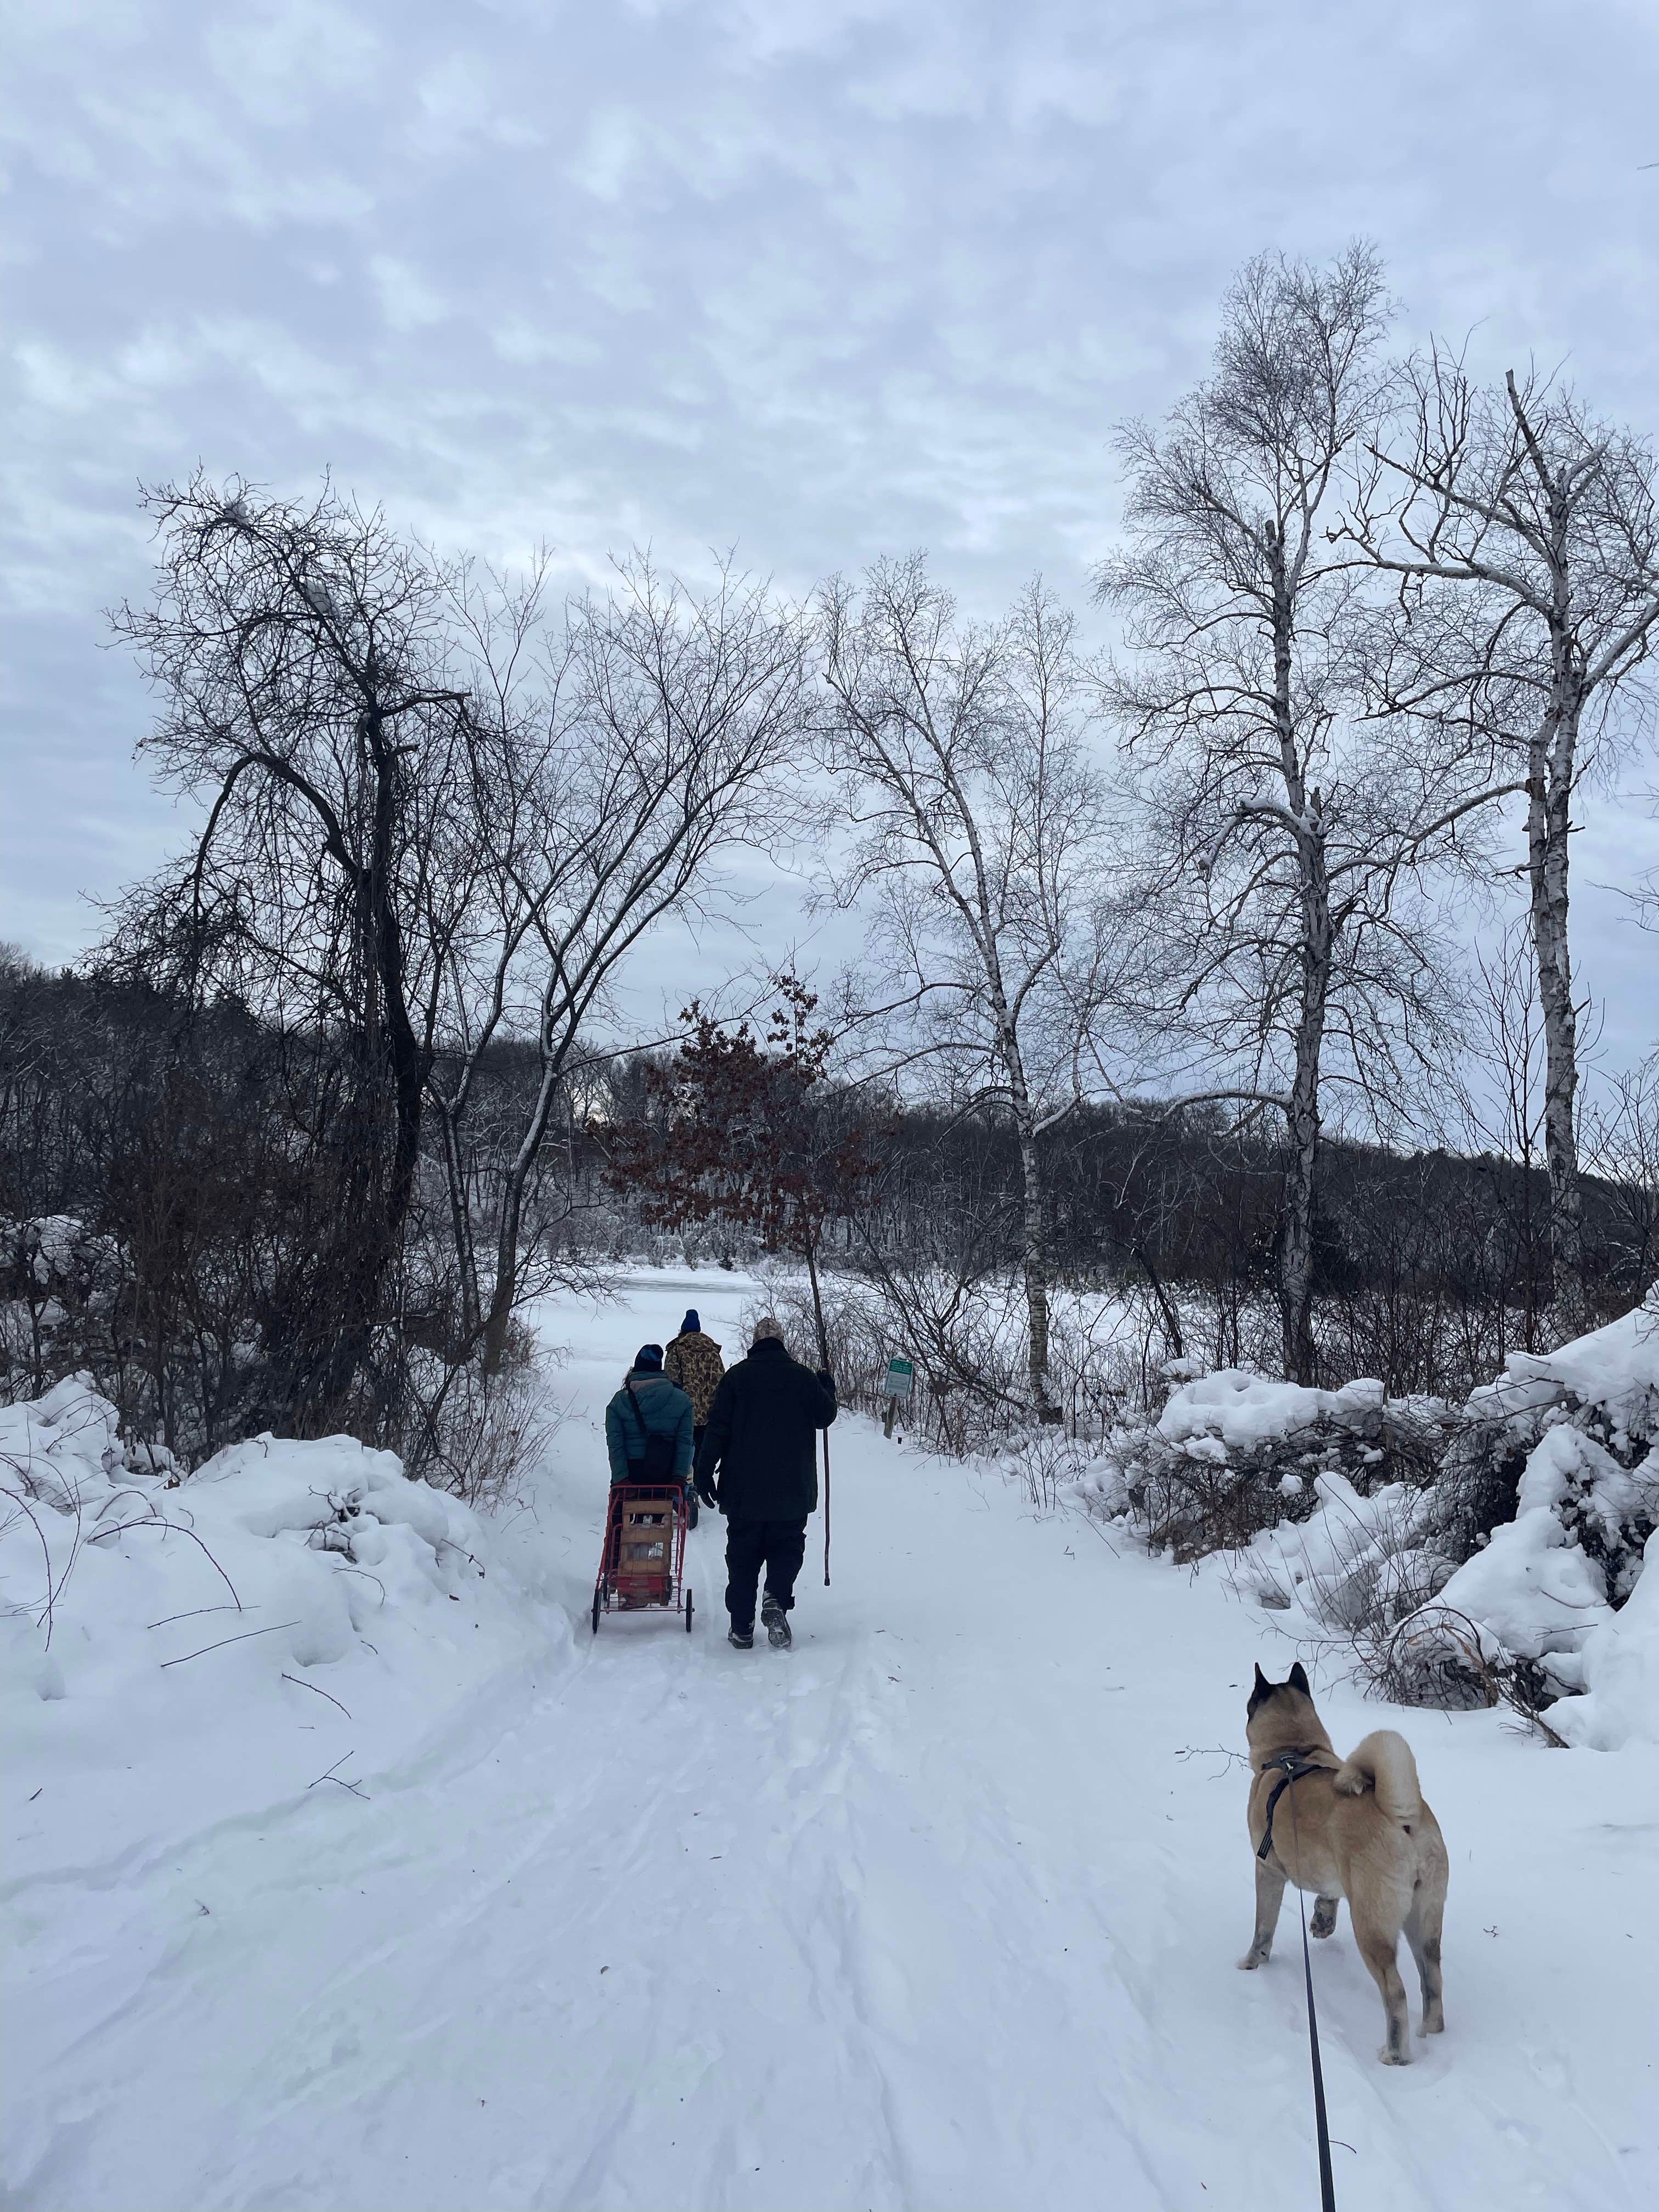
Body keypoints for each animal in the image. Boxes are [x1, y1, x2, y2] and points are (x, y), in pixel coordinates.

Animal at [1238, 1663, 1451, 2061]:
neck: (1294, 1751)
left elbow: (1263, 1927)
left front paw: (1252, 1962)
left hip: (1371, 1924)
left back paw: (1395, 2054)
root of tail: (1403, 1821)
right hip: (1425, 1919)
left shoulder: (1268, 1870)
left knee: (1395, 1990)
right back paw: (1430, 2030)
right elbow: (1327, 1898)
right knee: (1432, 1978)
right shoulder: (1331, 1874)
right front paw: (1322, 1924)